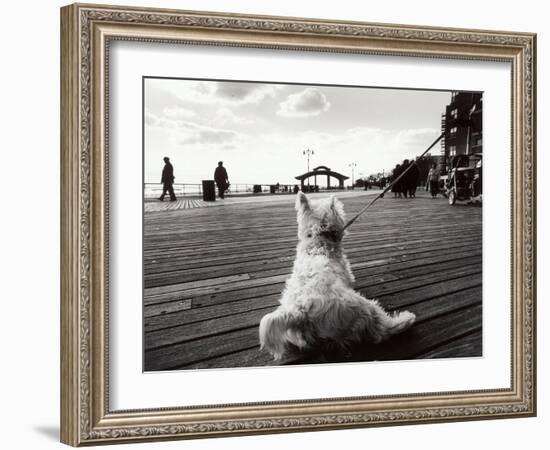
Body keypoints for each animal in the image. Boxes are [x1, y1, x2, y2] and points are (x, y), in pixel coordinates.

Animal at [260, 192, 416, 360]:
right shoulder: (346, 268)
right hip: (360, 308)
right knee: (381, 330)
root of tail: (300, 310)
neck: (319, 239)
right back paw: (406, 319)